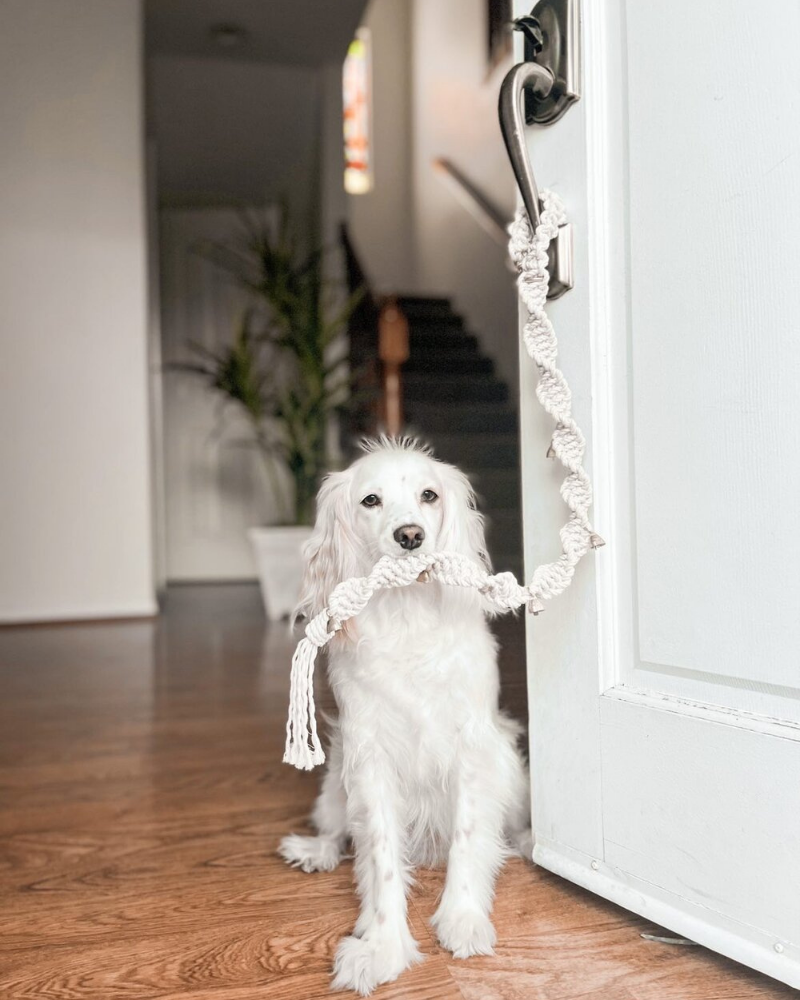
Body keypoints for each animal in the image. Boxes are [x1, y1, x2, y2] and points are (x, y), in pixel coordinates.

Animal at [282, 436, 532, 992]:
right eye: (370, 500)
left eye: (429, 495)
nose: (410, 536)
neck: (409, 615)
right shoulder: (370, 758)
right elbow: (380, 860)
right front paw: (382, 947)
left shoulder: (471, 747)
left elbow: (467, 839)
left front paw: (462, 918)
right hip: (336, 781)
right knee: (337, 831)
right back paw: (315, 852)